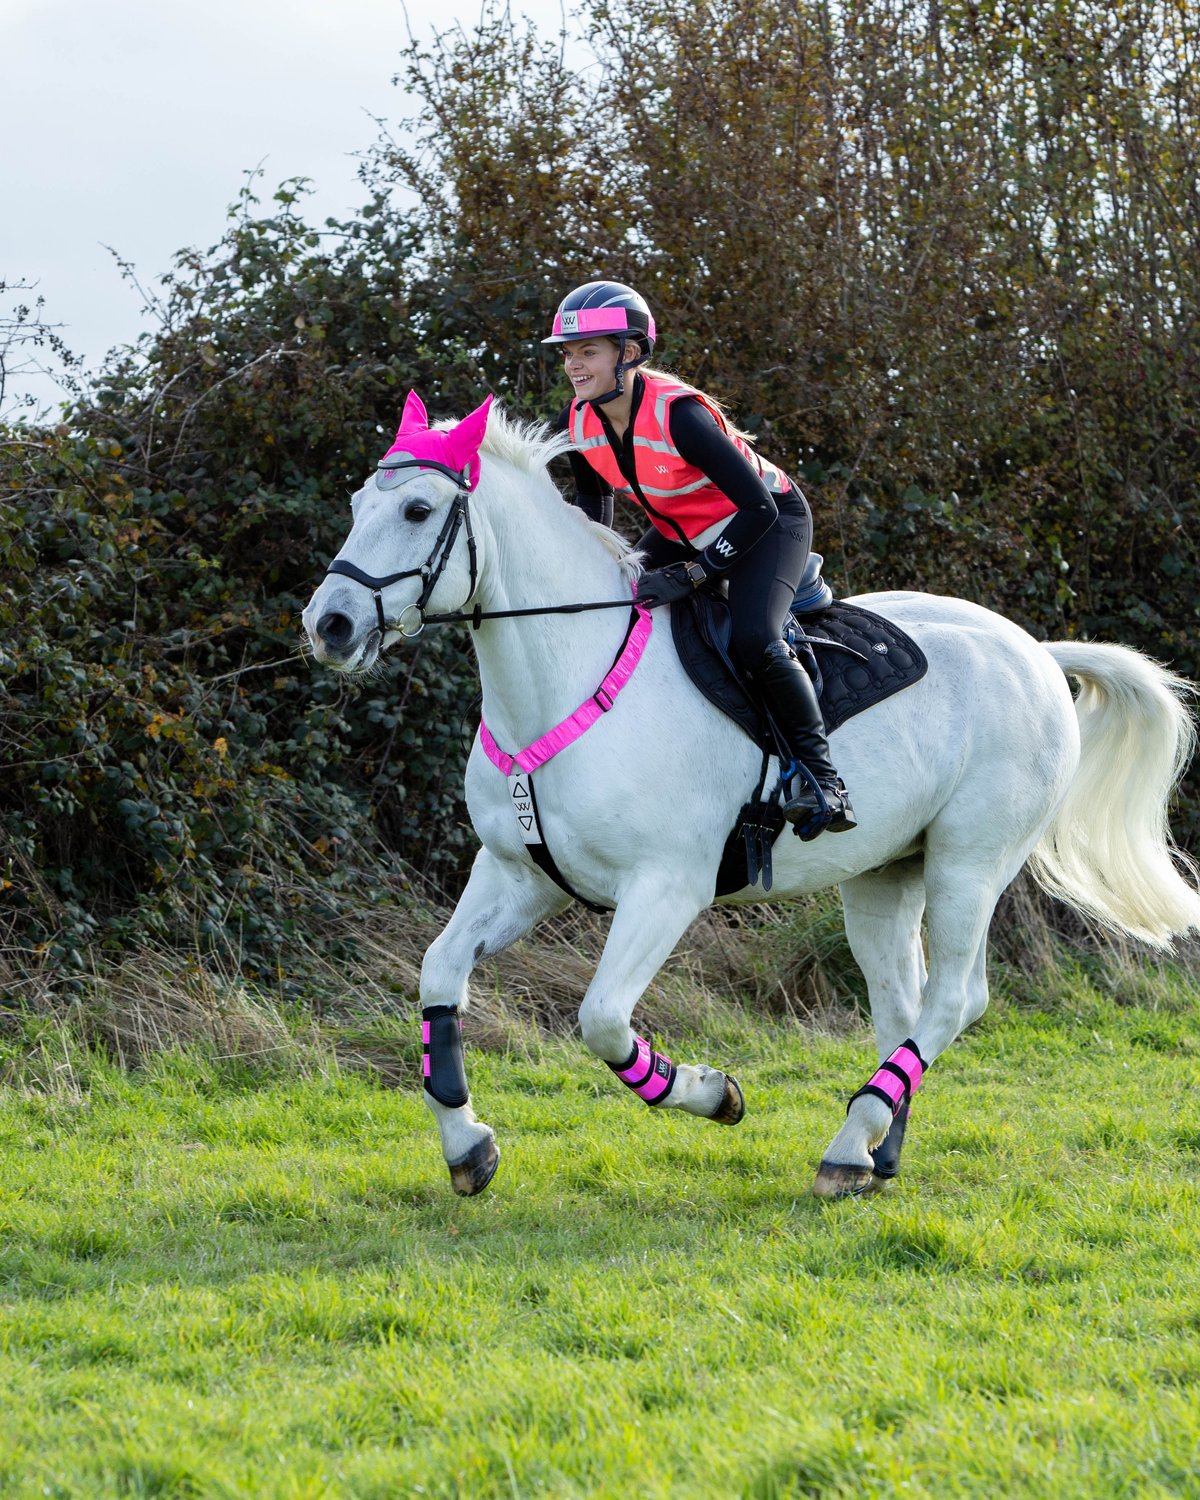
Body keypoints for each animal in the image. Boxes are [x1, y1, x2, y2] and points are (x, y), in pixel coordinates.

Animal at [301, 392, 1200, 1200]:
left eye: (418, 508)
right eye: (354, 505)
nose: (329, 625)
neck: (570, 677)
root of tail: (1036, 653)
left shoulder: (667, 886)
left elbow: (601, 1018)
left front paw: (711, 1093)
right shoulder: (519, 874)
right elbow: (440, 974)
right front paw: (468, 1145)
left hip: (969, 863)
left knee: (954, 998)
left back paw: (849, 1141)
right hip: (884, 874)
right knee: (901, 1005)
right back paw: (873, 1152)